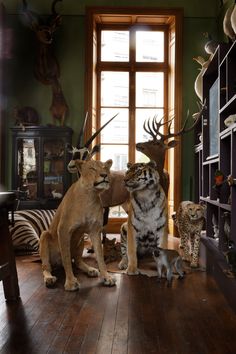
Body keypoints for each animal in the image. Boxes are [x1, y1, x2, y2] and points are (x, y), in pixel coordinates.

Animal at [39, 159, 116, 292]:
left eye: (105, 168)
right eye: (92, 168)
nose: (104, 175)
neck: (90, 195)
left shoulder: (95, 231)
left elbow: (100, 257)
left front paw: (107, 277)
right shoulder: (63, 230)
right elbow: (66, 258)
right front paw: (70, 282)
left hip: (81, 239)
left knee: (78, 261)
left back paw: (91, 270)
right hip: (45, 235)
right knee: (46, 267)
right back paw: (49, 279)